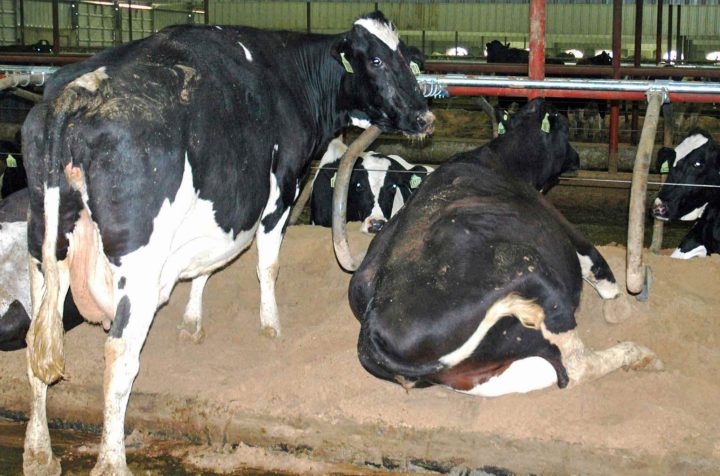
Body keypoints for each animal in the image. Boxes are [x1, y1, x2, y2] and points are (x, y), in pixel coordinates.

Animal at [22, 11, 434, 475]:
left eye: (407, 59)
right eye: (376, 61)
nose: (424, 117)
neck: (291, 72)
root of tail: (79, 93)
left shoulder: (224, 205)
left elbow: (207, 264)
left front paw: (192, 323)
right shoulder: (281, 188)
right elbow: (267, 264)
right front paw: (270, 326)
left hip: (41, 250)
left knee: (35, 346)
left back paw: (39, 453)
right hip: (137, 264)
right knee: (120, 357)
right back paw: (112, 462)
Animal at [347, 98, 661, 398]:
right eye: (563, 126)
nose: (577, 158)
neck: (501, 159)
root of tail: (370, 327)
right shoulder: (566, 228)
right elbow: (602, 274)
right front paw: (620, 306)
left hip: (469, 372)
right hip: (532, 274)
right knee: (575, 366)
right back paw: (639, 354)